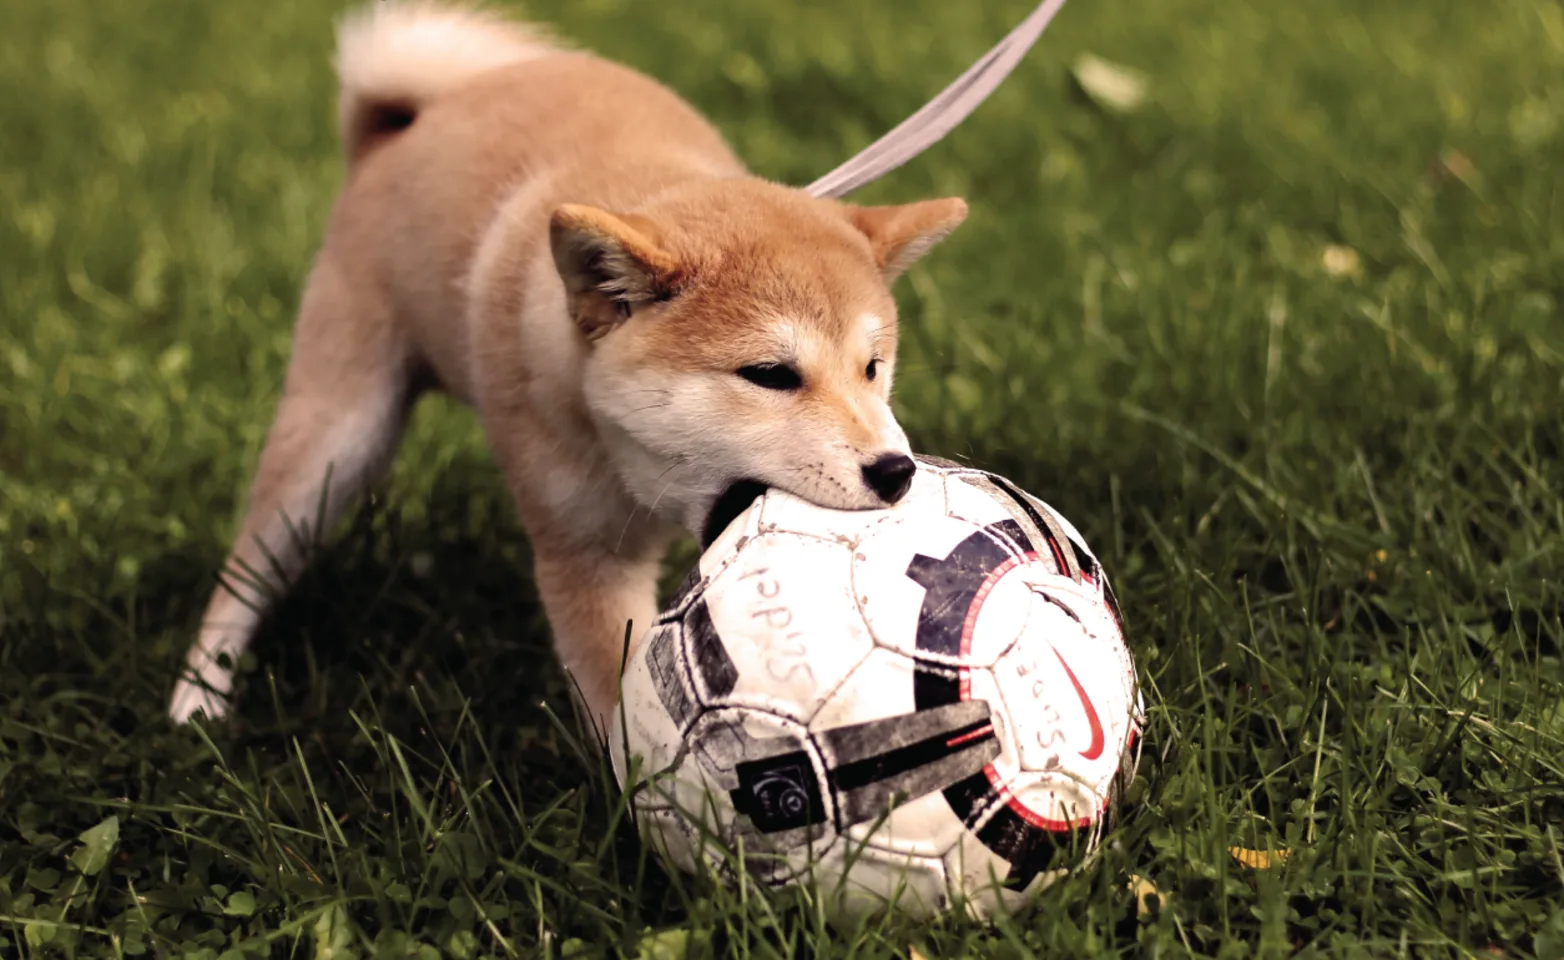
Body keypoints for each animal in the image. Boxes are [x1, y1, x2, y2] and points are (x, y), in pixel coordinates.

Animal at [165, 1, 957, 737]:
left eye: (872, 368)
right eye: (769, 374)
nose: (896, 472)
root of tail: (398, 128)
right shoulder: (585, 555)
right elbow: (617, 704)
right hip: (336, 434)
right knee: (248, 568)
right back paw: (199, 698)